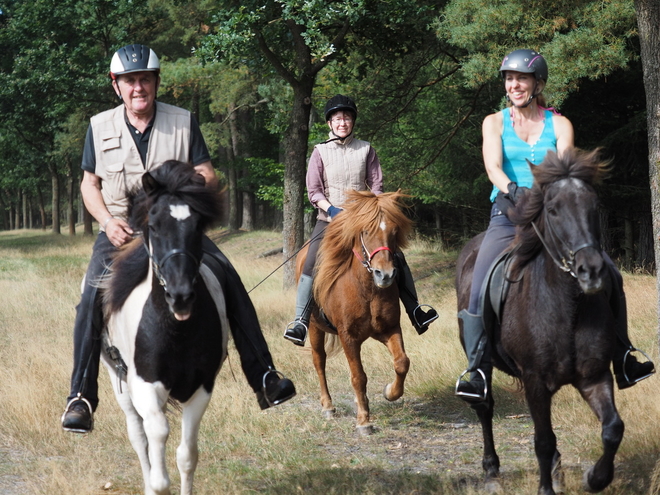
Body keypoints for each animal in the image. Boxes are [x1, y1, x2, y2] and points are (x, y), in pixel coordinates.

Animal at [100, 162, 228, 495]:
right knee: (138, 436)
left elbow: (187, 455)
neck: (175, 330)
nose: (180, 295)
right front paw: (155, 484)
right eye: (154, 226)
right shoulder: (145, 386)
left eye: (198, 226)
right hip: (118, 381)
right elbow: (156, 446)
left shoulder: (201, 388)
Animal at [298, 190, 412, 434]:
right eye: (366, 231)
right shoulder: (348, 336)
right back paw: (328, 406)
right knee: (319, 361)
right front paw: (363, 421)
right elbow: (358, 376)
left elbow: (402, 362)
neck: (367, 289)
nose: (385, 274)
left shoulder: (390, 329)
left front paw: (390, 392)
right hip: (314, 327)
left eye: (394, 231)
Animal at [456, 149, 620, 495]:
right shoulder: (534, 379)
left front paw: (595, 478)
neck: (567, 306)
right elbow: (543, 441)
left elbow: (612, 428)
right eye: (553, 210)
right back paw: (491, 471)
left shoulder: (594, 376)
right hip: (483, 362)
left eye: (593, 205)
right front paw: (546, 488)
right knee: (485, 407)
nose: (591, 271)